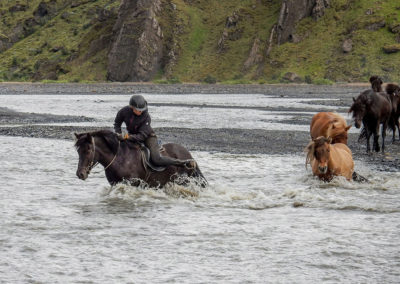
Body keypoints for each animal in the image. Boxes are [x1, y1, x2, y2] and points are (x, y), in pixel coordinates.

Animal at [74, 130, 209, 187]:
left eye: (88, 149)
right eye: (78, 151)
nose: (80, 174)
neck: (119, 159)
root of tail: (189, 156)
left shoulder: (132, 183)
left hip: (183, 181)